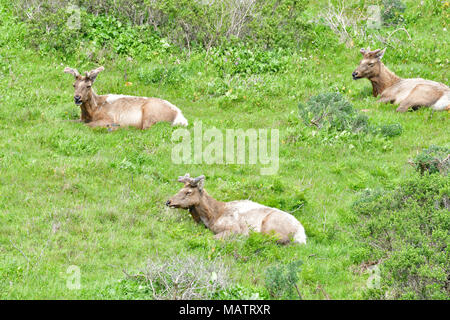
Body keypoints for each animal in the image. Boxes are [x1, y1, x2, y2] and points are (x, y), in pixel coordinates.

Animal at [167, 174, 308, 244]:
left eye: (188, 192)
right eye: (180, 189)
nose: (168, 201)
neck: (212, 217)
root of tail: (301, 233)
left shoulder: (233, 228)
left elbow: (212, 238)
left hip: (270, 225)